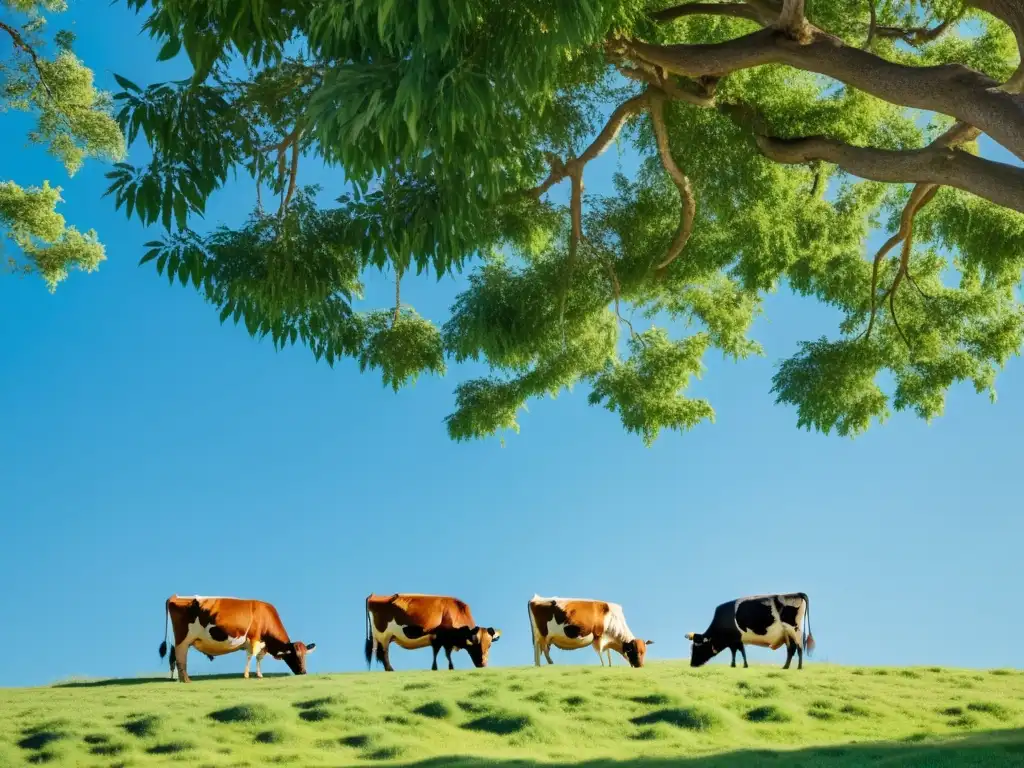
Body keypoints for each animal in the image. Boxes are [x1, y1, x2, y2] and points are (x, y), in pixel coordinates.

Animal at [155, 593, 313, 684]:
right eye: (295, 656)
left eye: (305, 656)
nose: (304, 672)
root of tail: (176, 596)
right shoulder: (254, 639)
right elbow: (251, 656)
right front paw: (246, 675)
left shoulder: (263, 643)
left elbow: (259, 658)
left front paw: (259, 674)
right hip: (183, 639)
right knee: (181, 656)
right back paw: (186, 680)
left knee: (173, 658)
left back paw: (176, 678)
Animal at [366, 593, 501, 671]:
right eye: (475, 643)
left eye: (489, 645)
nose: (483, 664)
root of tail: (374, 595)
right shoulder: (440, 637)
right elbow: (442, 653)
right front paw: (441, 668)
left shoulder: (442, 639)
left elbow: (443, 653)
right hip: (383, 635)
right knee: (384, 653)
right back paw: (390, 669)